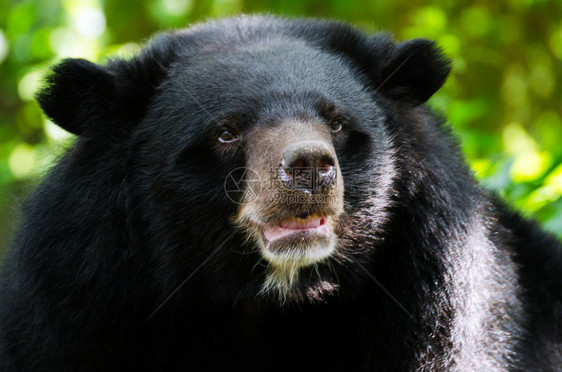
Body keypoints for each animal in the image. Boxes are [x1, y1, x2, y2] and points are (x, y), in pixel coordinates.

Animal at [1, 15, 560, 372]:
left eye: (337, 123)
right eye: (226, 132)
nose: (310, 167)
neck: (266, 300)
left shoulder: (430, 296)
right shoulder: (82, 295)